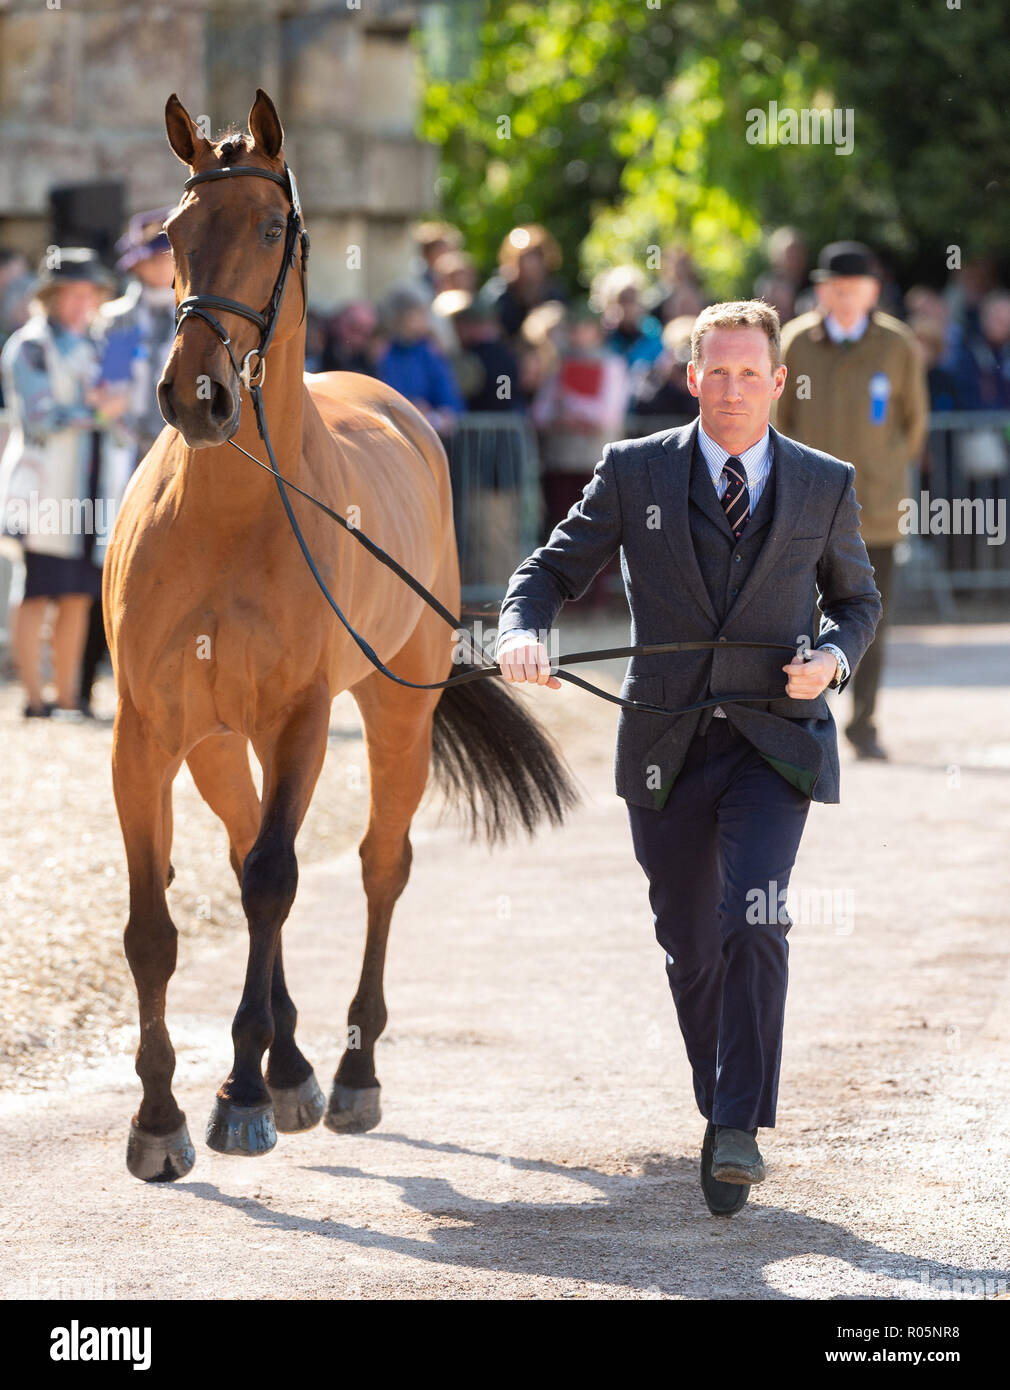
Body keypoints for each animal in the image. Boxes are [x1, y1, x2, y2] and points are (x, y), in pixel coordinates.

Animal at [106, 92, 577, 1178]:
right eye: (173, 233)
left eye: (269, 228)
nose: (196, 395)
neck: (227, 511)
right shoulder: (147, 732)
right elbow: (156, 925)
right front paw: (160, 1117)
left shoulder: (300, 720)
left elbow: (276, 883)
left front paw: (237, 1093)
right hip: (214, 743)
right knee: (247, 847)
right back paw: (292, 1064)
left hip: (395, 713)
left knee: (376, 863)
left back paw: (349, 1070)